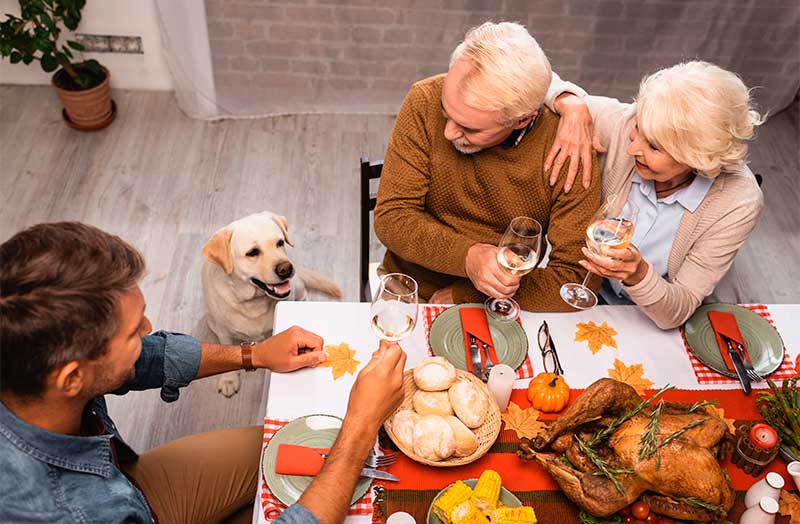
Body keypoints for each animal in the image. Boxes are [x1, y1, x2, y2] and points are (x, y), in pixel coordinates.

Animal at [200, 211, 340, 396]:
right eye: (252, 252)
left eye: (280, 242)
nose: (286, 269)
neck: (254, 302)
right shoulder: (223, 331)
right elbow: (226, 345)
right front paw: (229, 379)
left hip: (298, 286)